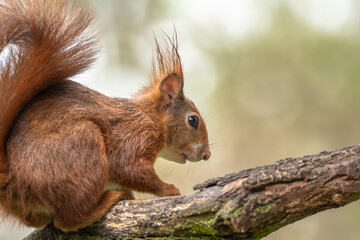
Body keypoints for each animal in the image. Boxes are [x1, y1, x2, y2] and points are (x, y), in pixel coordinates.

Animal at [0, 0, 211, 232]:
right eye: (193, 120)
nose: (207, 155)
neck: (150, 117)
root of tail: (14, 181)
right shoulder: (134, 134)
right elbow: (128, 167)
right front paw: (168, 189)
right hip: (83, 146)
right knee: (68, 219)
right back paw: (107, 201)